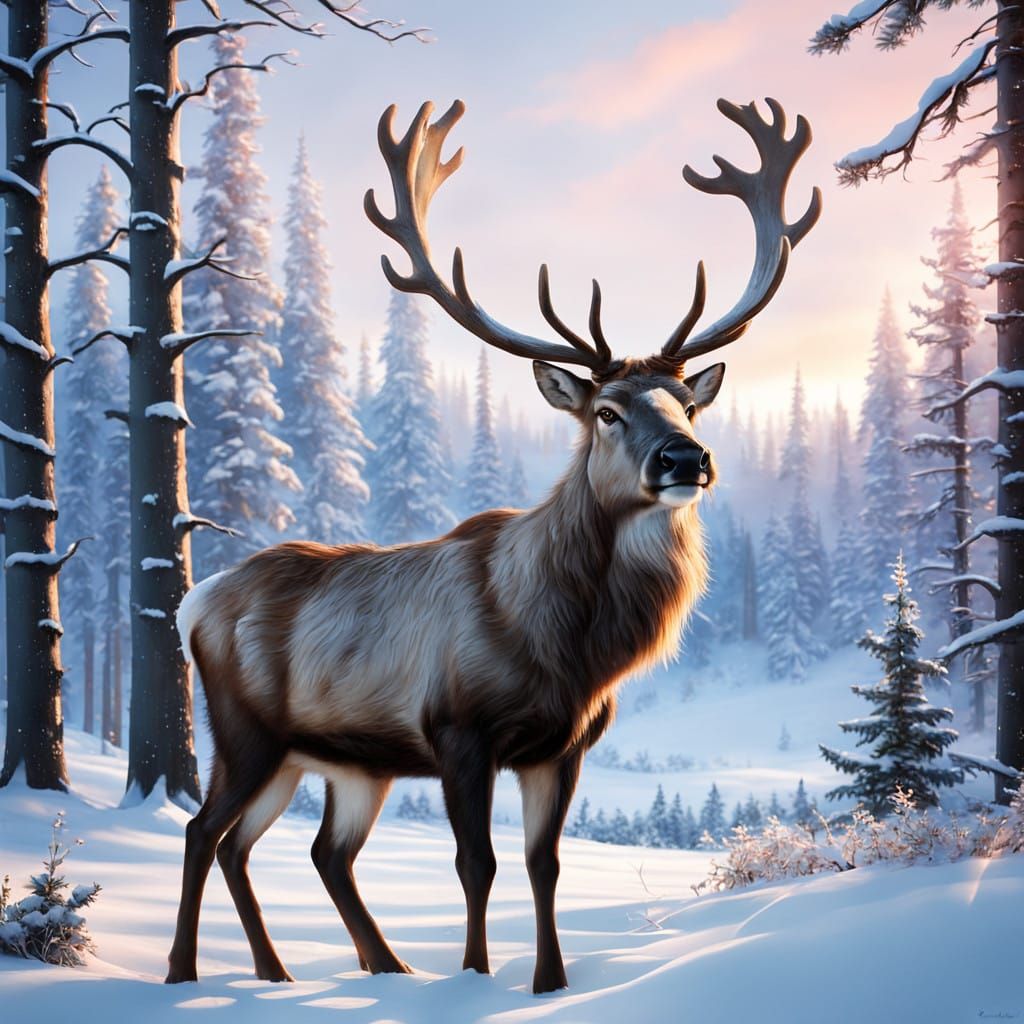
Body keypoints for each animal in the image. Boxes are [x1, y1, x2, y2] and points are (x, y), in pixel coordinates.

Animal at [165, 96, 820, 994]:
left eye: (688, 402)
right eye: (606, 411)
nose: (686, 458)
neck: (568, 645)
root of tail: (194, 601)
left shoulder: (563, 746)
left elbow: (544, 866)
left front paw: (550, 983)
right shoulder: (457, 729)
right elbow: (476, 864)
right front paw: (474, 979)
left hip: (340, 761)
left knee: (306, 851)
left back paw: (333, 970)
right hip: (246, 731)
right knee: (204, 831)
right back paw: (187, 974)